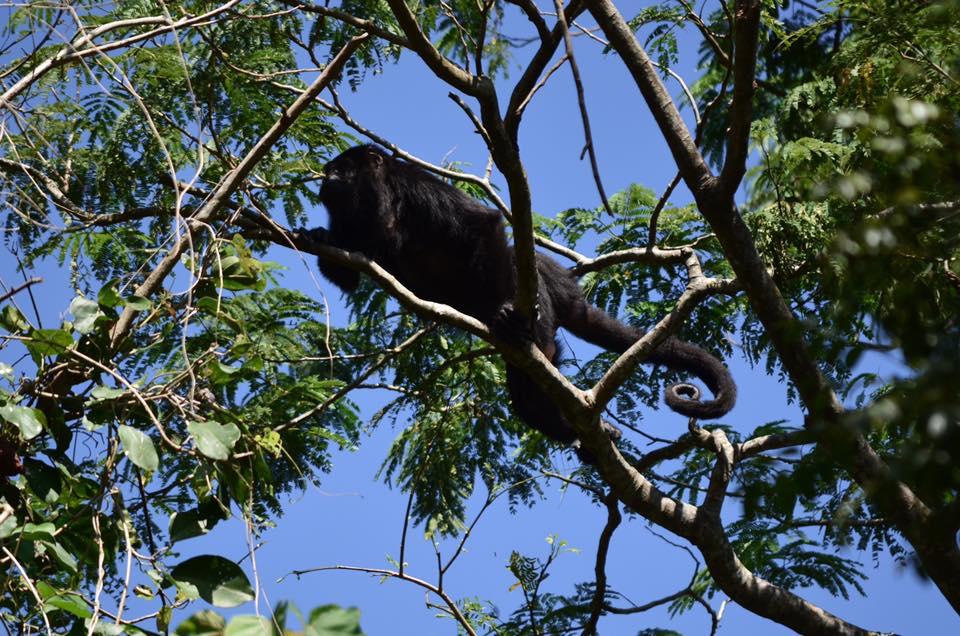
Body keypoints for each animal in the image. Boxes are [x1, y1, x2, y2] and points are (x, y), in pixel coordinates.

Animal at [308, 144, 736, 452]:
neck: (380, 199)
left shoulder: (416, 186)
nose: (323, 179)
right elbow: (351, 273)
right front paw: (317, 237)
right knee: (526, 402)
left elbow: (483, 224)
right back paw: (573, 430)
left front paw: (507, 312)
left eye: (340, 171)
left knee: (518, 263)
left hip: (541, 301)